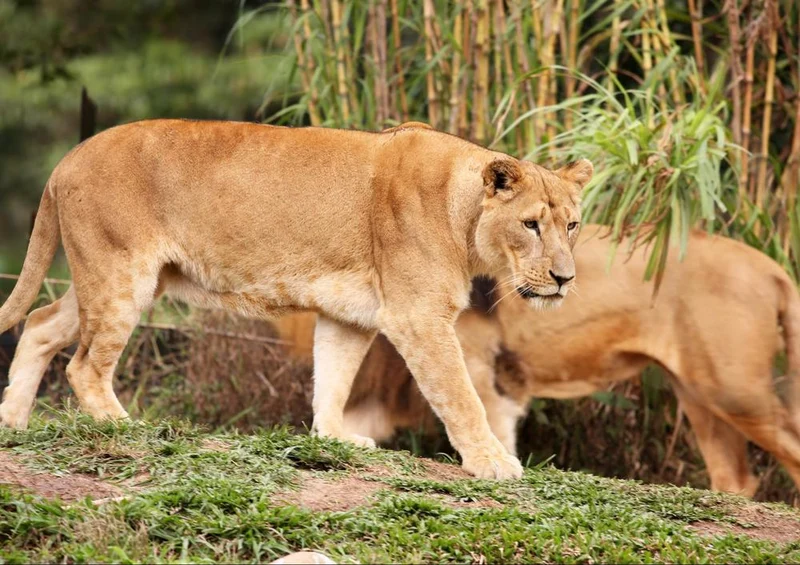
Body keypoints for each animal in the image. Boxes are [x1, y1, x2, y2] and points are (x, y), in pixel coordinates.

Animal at [0, 119, 593, 480]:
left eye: (572, 224)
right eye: (531, 225)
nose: (564, 278)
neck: (462, 213)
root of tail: (67, 159)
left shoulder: (351, 316)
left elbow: (333, 378)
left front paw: (335, 439)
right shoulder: (419, 318)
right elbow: (462, 396)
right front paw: (492, 461)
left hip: (112, 277)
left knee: (41, 323)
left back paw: (12, 424)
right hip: (123, 275)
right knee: (83, 365)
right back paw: (123, 426)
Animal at [275, 225, 800, 496]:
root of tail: (772, 268)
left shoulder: (483, 373)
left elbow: (480, 423)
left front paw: (496, 467)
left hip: (736, 392)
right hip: (699, 395)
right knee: (735, 478)